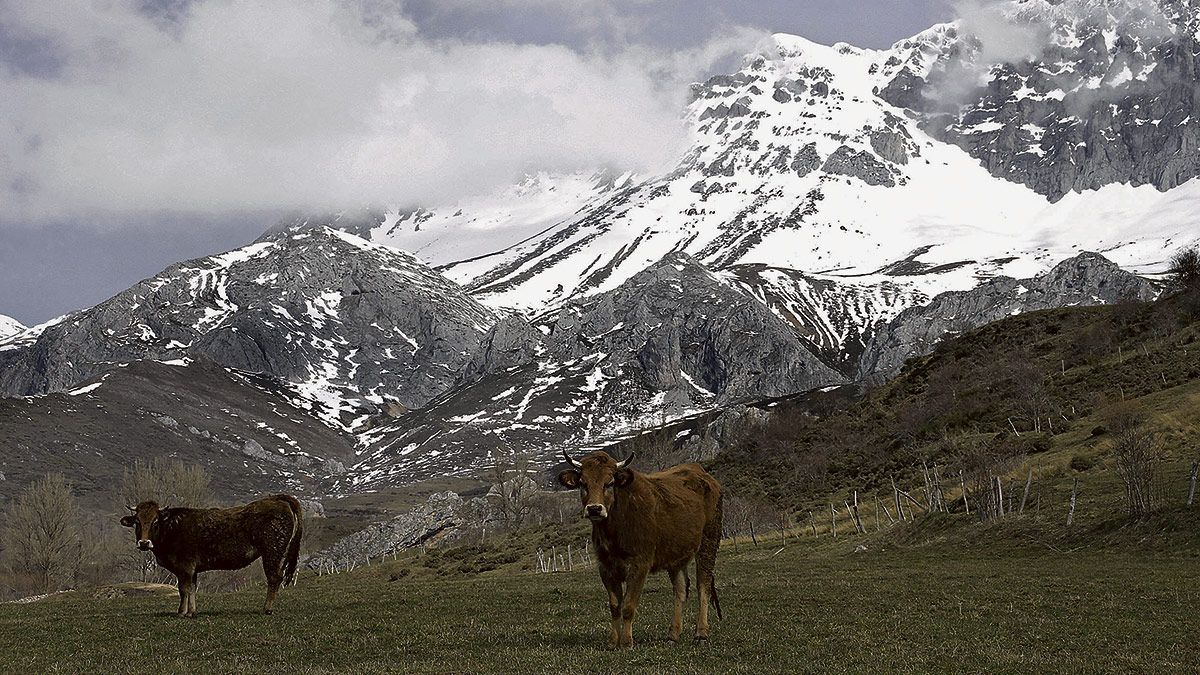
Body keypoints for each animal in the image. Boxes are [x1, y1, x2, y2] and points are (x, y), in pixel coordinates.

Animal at [118, 487, 302, 614]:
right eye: (137, 522)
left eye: (155, 522)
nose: (144, 543)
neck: (171, 529)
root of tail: (277, 498)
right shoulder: (192, 569)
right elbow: (192, 589)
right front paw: (191, 612)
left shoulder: (184, 567)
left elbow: (183, 589)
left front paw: (181, 612)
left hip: (272, 552)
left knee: (274, 578)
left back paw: (266, 609)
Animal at [554, 449, 715, 643]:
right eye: (583, 483)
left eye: (610, 483)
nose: (594, 509)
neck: (614, 530)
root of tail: (700, 472)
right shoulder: (605, 567)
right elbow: (615, 606)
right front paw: (613, 642)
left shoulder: (640, 564)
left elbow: (628, 606)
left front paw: (626, 642)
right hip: (676, 555)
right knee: (681, 589)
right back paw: (673, 634)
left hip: (709, 541)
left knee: (703, 585)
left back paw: (701, 633)